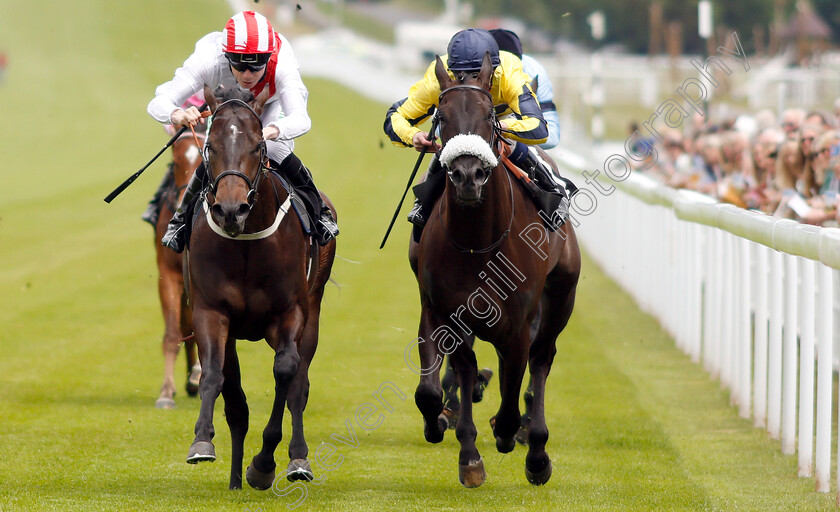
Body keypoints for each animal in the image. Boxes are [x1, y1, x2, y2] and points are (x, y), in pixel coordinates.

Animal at [185, 86, 336, 490]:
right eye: (210, 146)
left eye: (257, 146)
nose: (231, 209)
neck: (247, 242)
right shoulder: (211, 312)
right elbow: (215, 377)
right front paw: (202, 442)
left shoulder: (290, 313)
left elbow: (286, 372)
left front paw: (265, 463)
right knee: (236, 401)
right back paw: (236, 478)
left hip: (313, 311)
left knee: (299, 384)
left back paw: (297, 459)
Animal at [408, 53, 580, 488]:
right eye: (441, 116)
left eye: (488, 114)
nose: (468, 175)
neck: (477, 242)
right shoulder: (442, 311)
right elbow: (437, 387)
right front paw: (461, 448)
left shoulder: (517, 325)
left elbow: (511, 390)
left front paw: (511, 434)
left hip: (560, 299)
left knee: (541, 360)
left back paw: (535, 450)